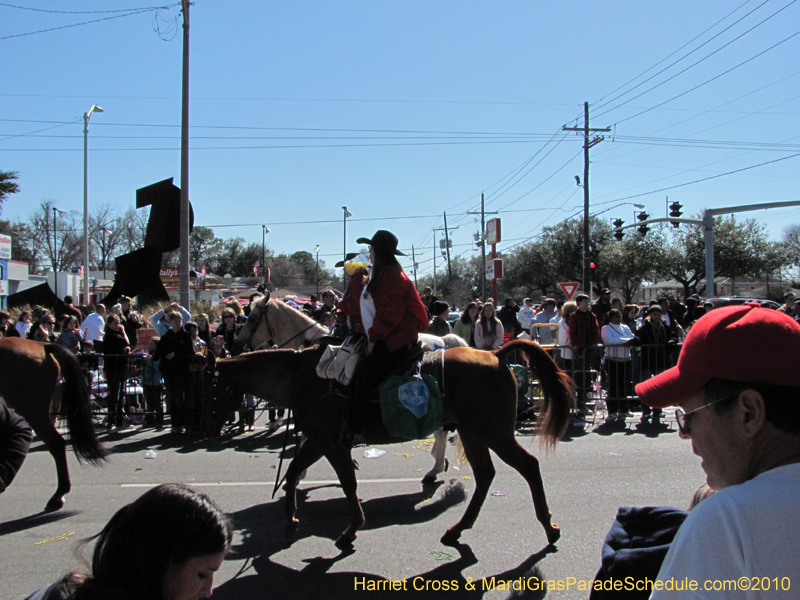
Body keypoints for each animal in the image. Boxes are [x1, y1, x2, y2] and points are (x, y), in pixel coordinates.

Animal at [206, 336, 568, 552]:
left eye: (213, 387)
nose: (211, 428)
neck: (298, 376)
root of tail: (495, 355)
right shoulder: (318, 441)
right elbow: (294, 474)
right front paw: (290, 520)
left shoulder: (330, 443)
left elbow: (345, 483)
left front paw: (350, 528)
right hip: (474, 433)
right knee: (485, 476)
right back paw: (457, 527)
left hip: (494, 433)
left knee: (527, 466)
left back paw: (548, 526)